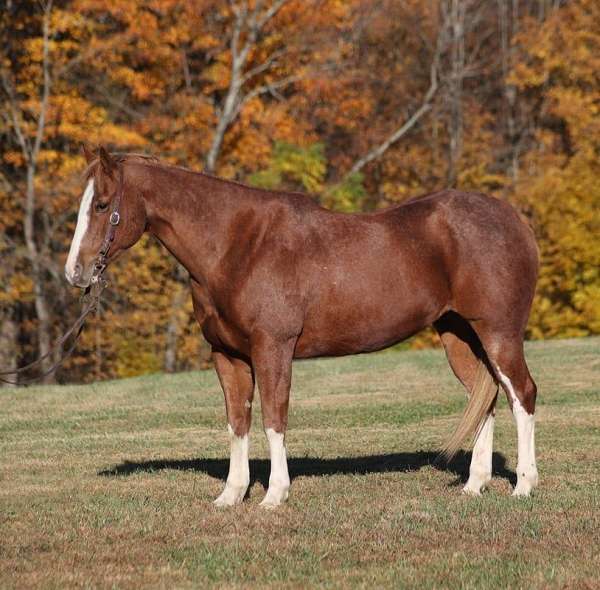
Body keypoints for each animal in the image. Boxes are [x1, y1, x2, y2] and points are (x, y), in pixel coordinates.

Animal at [64, 147, 540, 508]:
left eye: (102, 206)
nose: (75, 273)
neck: (238, 246)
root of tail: (515, 219)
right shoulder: (228, 356)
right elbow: (238, 421)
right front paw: (231, 495)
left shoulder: (273, 348)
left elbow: (274, 418)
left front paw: (274, 495)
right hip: (459, 336)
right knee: (484, 396)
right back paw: (474, 485)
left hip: (498, 334)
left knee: (522, 395)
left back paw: (524, 486)